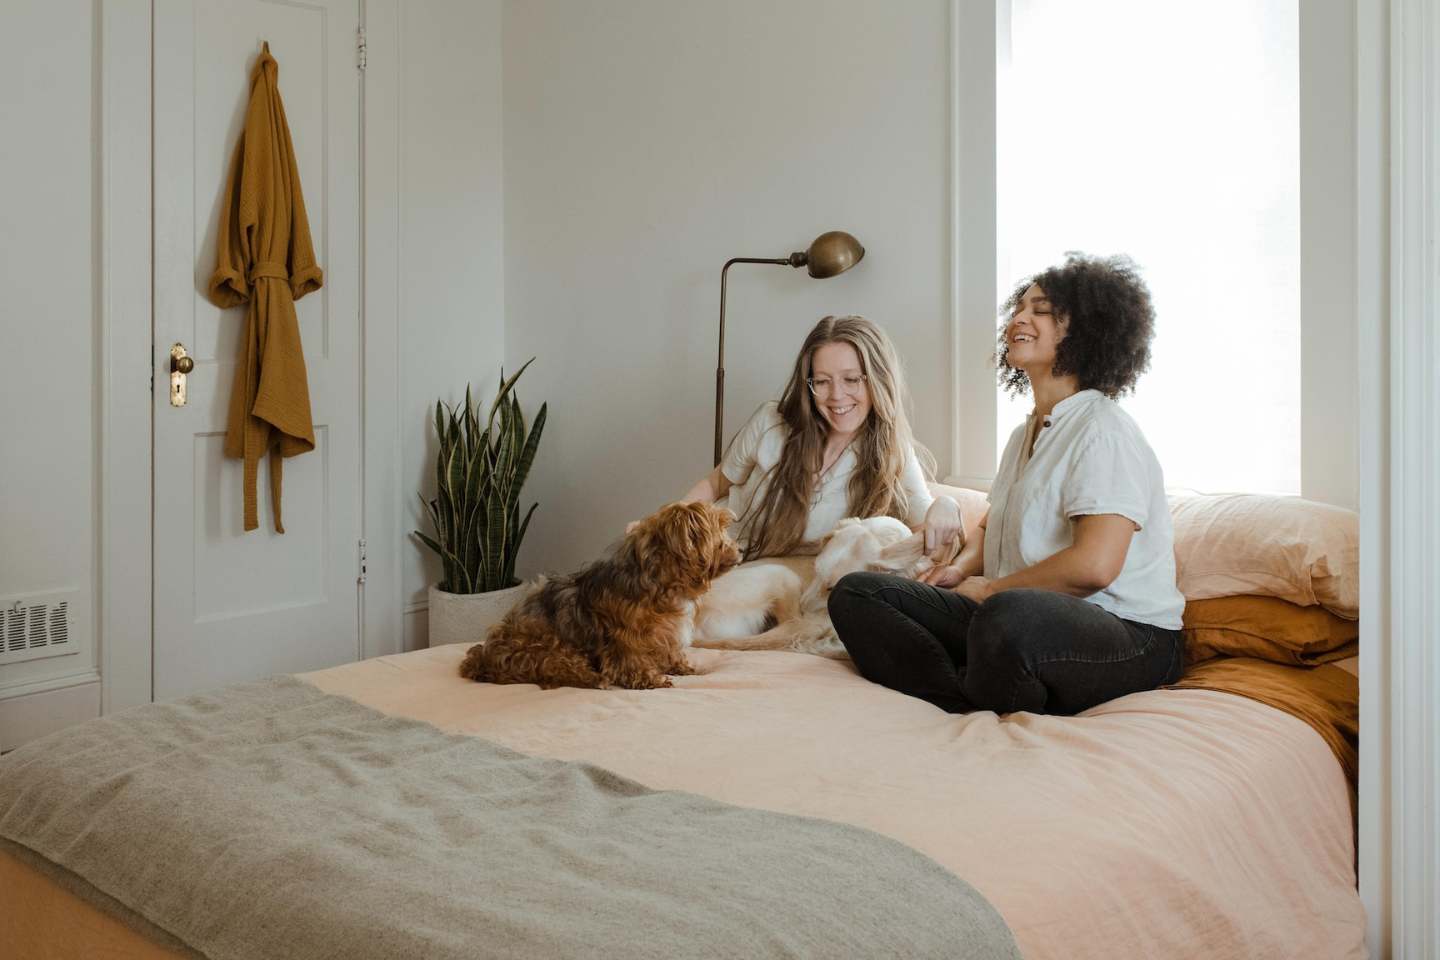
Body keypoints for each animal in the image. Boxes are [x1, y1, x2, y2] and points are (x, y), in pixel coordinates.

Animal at [457, 503, 737, 690]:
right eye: (720, 533)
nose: (739, 549)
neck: (662, 583)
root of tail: (483, 658)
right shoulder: (625, 636)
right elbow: (632, 658)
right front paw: (650, 678)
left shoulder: (664, 633)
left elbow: (670, 652)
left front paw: (682, 667)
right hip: (546, 648)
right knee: (558, 669)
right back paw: (595, 678)